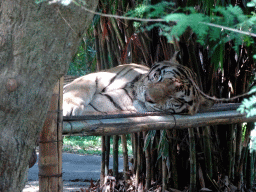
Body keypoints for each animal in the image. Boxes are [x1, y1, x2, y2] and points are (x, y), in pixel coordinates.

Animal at [62, 56, 216, 117]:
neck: (132, 88)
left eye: (176, 99)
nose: (147, 97)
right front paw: (67, 105)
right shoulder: (96, 75)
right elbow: (80, 87)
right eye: (157, 76)